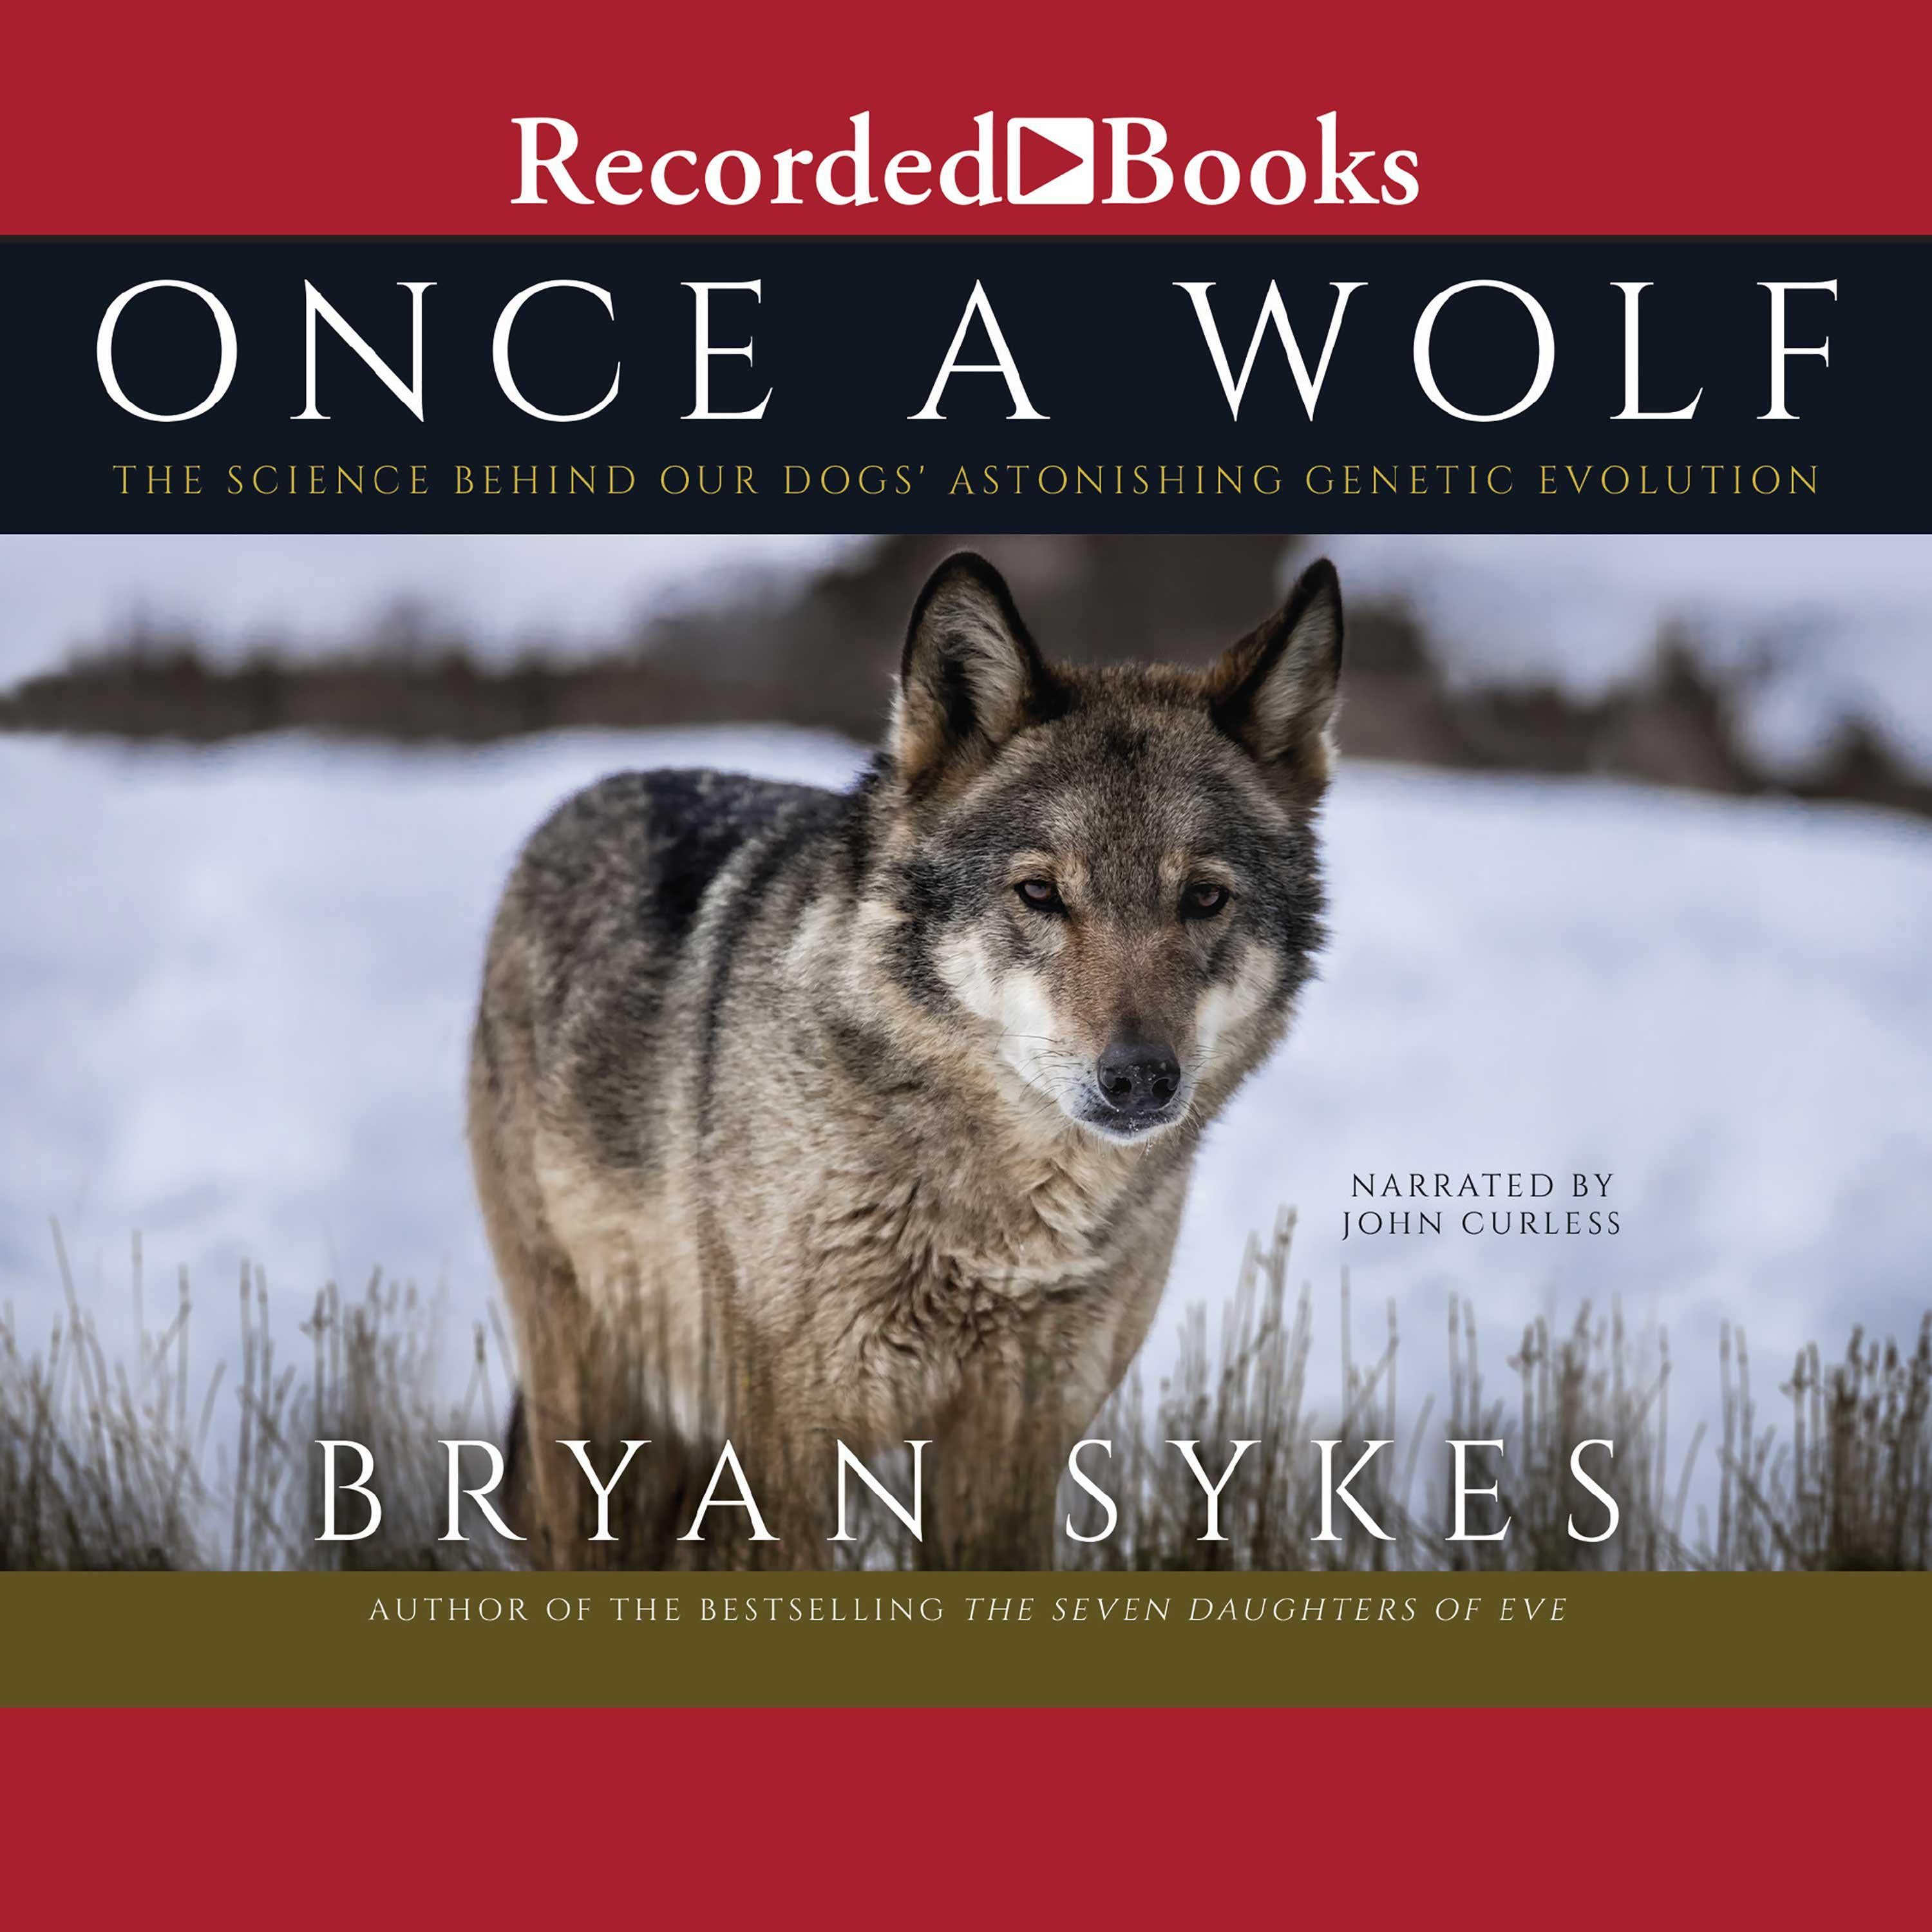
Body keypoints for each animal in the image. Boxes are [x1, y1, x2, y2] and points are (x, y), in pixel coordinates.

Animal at [467, 550, 1343, 1560]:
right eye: (1039, 894)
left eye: (1203, 899)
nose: (1138, 1078)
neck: (1003, 1232)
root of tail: (584, 798)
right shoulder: (789, 1445)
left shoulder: (1012, 1459)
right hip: (595, 1409)